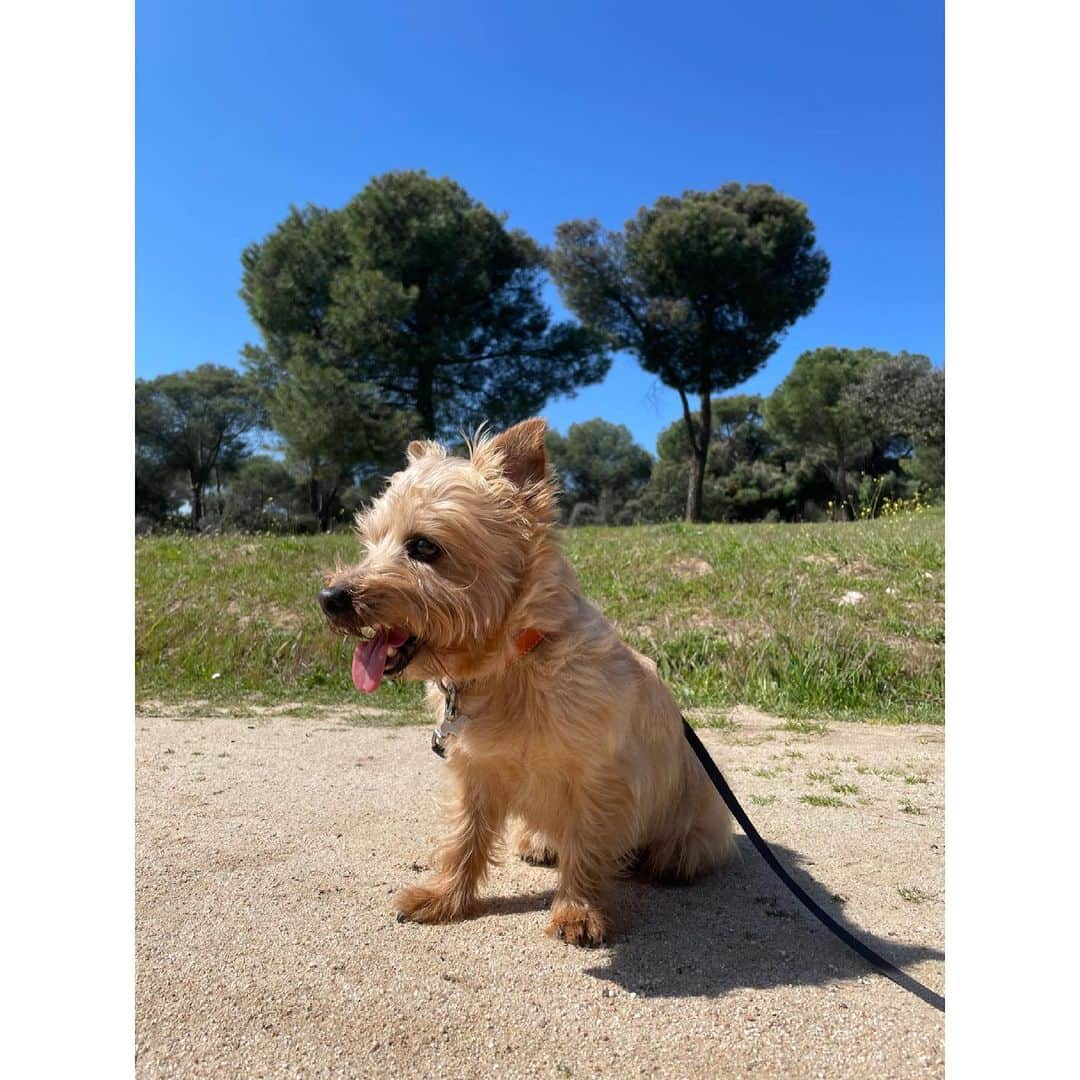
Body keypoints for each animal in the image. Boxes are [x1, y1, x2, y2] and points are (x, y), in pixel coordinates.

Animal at [315, 416, 730, 941]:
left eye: (424, 546)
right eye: (369, 543)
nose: (330, 598)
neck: (510, 665)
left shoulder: (599, 778)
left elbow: (588, 845)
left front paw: (577, 910)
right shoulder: (473, 772)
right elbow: (463, 837)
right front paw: (445, 897)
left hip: (699, 811)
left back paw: (673, 857)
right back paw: (537, 841)